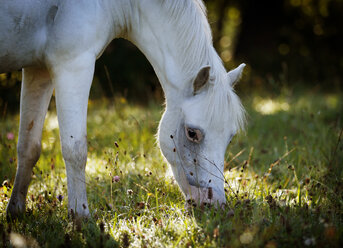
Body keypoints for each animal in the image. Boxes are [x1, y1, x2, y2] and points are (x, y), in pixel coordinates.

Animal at [0, 0, 247, 217]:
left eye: (230, 137)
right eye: (192, 133)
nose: (215, 204)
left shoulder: (37, 69)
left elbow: (28, 147)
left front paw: (16, 212)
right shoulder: (73, 65)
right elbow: (75, 150)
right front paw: (81, 216)